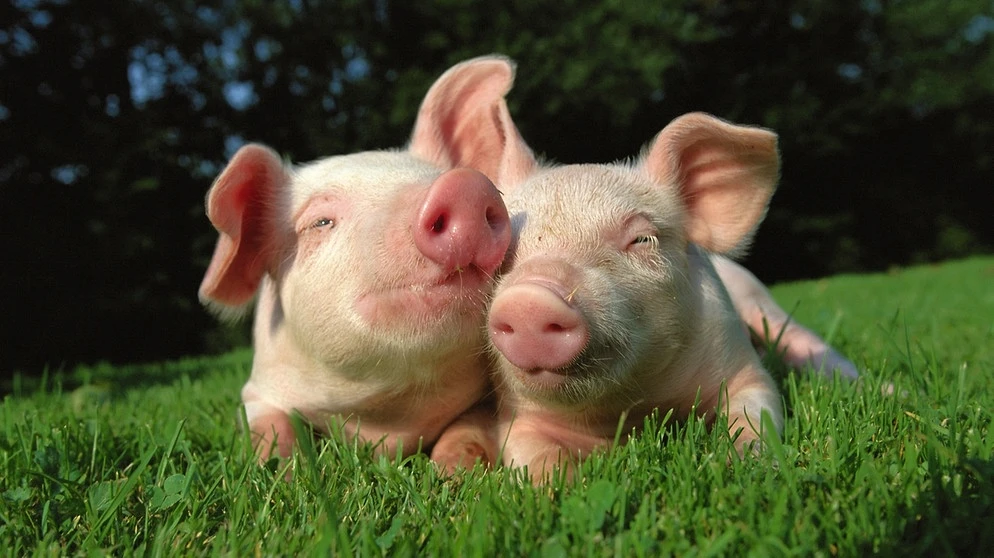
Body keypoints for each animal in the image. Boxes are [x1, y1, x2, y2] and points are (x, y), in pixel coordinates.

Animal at [198, 55, 534, 464]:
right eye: (320, 222)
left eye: (442, 177)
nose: (465, 187)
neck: (385, 421)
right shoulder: (258, 388)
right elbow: (269, 425)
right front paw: (277, 468)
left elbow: (467, 427)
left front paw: (454, 470)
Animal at [483, 112, 787, 481]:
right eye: (503, 252)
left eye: (641, 239)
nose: (529, 299)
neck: (630, 410)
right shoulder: (516, 417)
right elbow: (534, 457)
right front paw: (558, 487)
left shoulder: (742, 365)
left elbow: (756, 412)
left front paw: (744, 466)